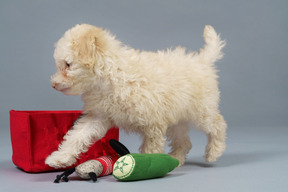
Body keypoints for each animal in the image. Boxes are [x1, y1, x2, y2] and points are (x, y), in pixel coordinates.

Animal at [45, 23, 227, 168]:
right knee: (184, 141)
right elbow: (77, 136)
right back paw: (176, 159)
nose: (53, 84)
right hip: (178, 118)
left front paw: (152, 165)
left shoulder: (153, 123)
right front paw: (59, 158)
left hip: (202, 110)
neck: (110, 75)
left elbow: (151, 148)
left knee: (218, 124)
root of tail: (202, 61)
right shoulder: (98, 116)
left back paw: (213, 152)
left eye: (68, 65)